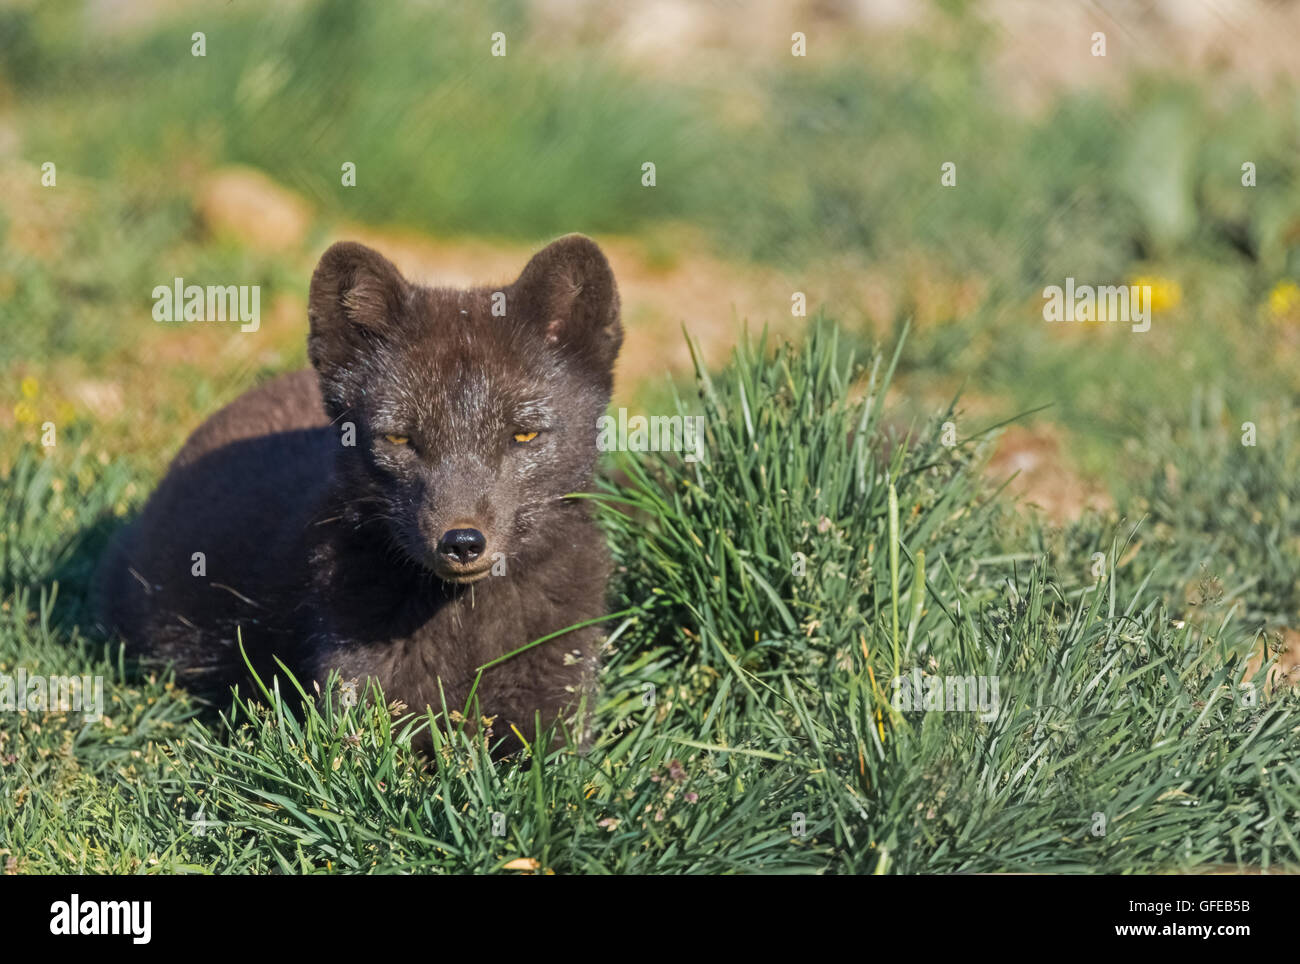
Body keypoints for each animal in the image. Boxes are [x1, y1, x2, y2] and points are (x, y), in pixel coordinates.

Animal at [94, 233, 621, 753]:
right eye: (399, 438)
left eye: (524, 435)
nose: (462, 542)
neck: (465, 638)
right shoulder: (356, 697)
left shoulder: (559, 705)